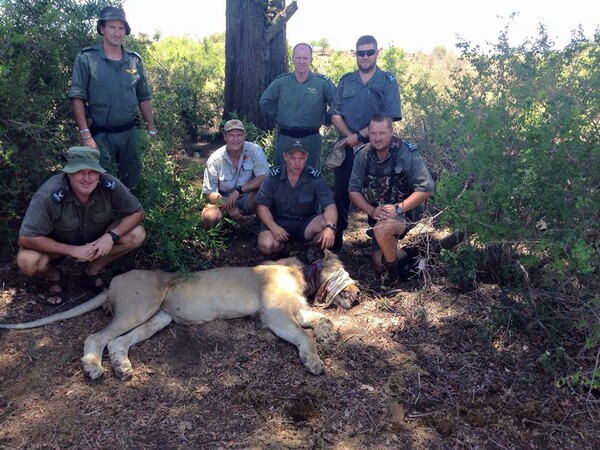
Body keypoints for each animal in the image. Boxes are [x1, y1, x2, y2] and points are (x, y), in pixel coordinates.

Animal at [0, 250, 356, 380]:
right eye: (345, 272)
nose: (357, 293)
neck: (305, 275)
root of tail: (114, 280)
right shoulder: (276, 316)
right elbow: (303, 335)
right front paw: (314, 362)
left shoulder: (294, 309)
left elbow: (317, 319)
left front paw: (327, 331)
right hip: (141, 305)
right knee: (97, 336)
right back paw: (93, 368)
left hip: (160, 317)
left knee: (118, 342)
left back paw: (123, 368)